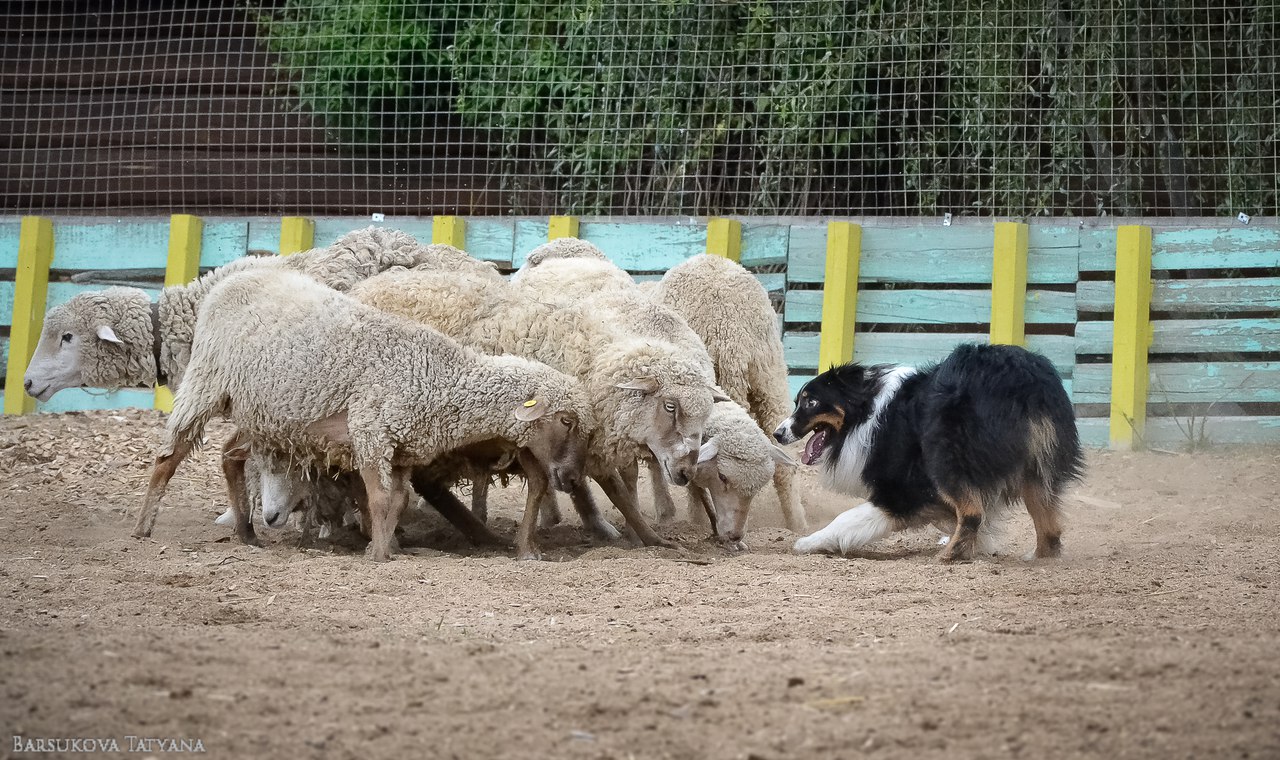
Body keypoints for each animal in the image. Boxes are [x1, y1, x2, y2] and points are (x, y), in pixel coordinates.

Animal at [133, 264, 593, 555]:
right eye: (565, 420)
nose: (571, 477)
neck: (442, 375)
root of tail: (235, 278)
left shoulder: (402, 448)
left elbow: (398, 501)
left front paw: (388, 546)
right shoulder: (372, 432)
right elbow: (381, 499)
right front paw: (379, 555)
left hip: (265, 412)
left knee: (230, 455)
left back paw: (247, 533)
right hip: (206, 382)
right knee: (168, 455)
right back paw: (143, 528)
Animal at [350, 264, 732, 545]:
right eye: (670, 406)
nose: (686, 471)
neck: (592, 361)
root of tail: (366, 286)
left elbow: (603, 487)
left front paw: (637, 534)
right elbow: (606, 488)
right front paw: (638, 535)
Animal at [773, 340, 1085, 560]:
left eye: (811, 402)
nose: (777, 433)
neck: (868, 411)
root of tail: (1023, 379)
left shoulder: (898, 493)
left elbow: (846, 520)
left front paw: (807, 542)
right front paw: (981, 545)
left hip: (944, 457)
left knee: (973, 512)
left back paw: (948, 556)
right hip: (1038, 468)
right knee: (1050, 528)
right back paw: (1039, 558)